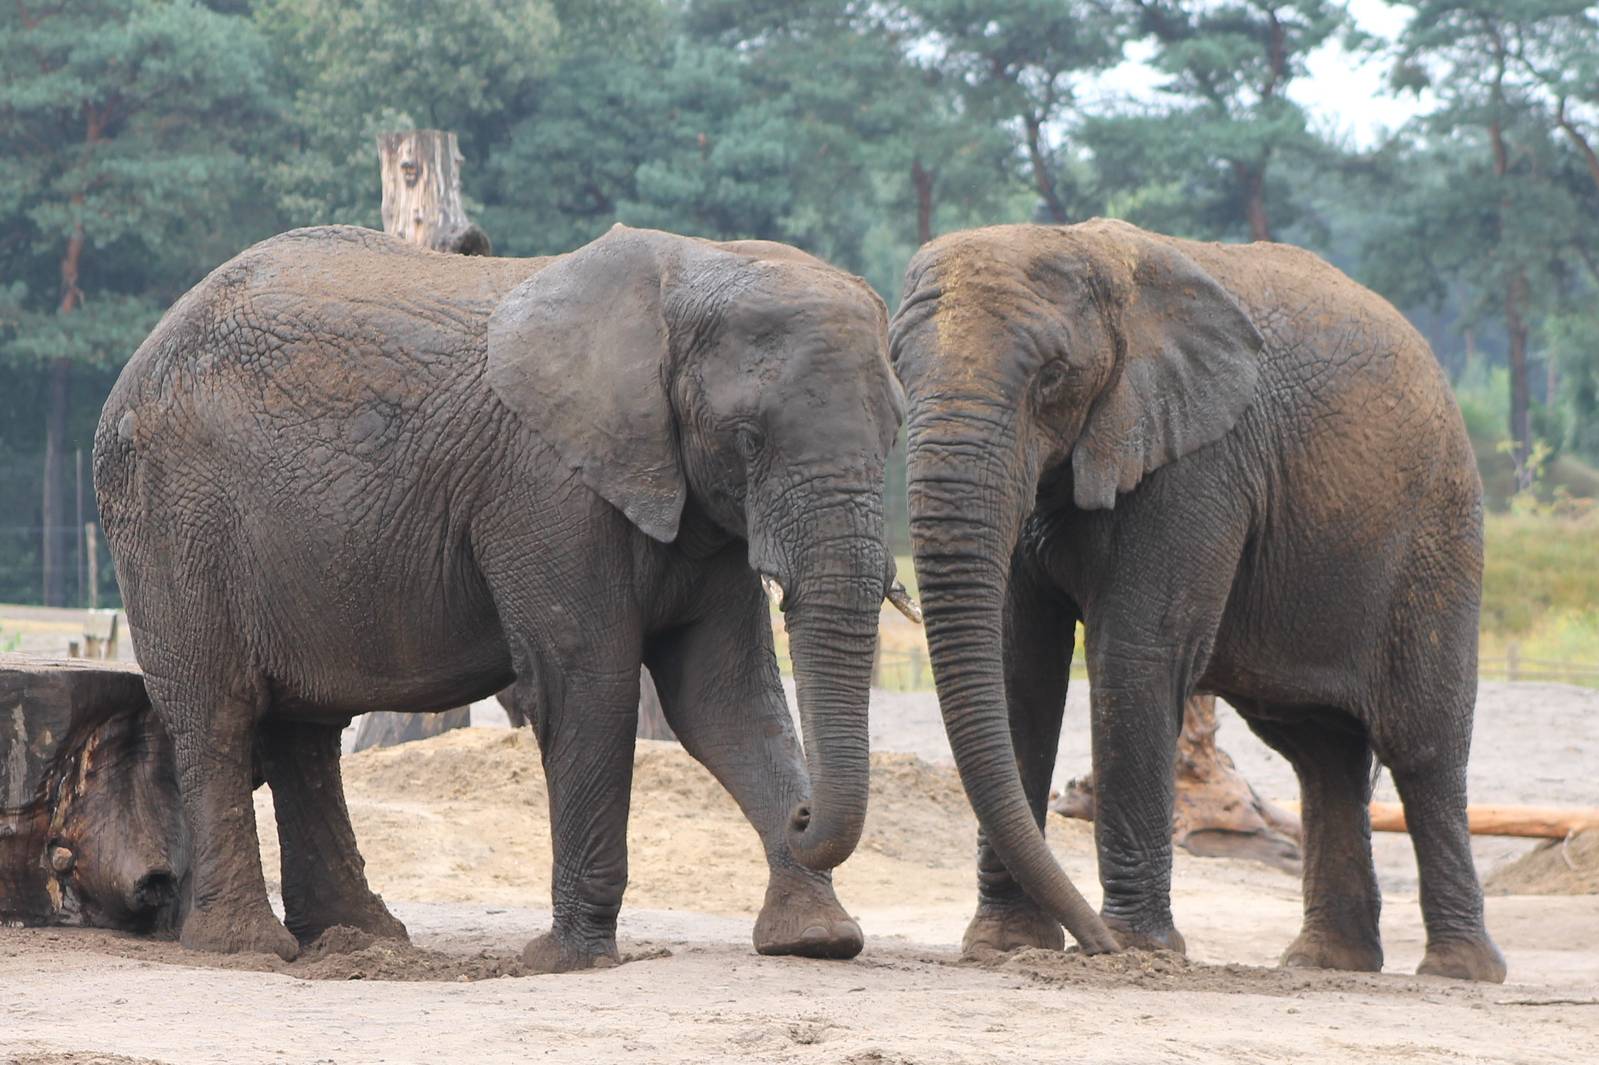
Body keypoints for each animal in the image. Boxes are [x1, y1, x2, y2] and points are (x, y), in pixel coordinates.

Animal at [93, 223, 907, 971]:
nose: (805, 812)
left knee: (305, 729)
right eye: (746, 439)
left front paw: (816, 941)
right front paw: (562, 959)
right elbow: (586, 684)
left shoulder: (696, 505)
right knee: (220, 710)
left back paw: (360, 938)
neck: (693, 270)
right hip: (172, 517)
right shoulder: (545, 490)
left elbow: (722, 697)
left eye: (895, 432)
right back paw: (249, 947)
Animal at [889, 219, 1506, 982]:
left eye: (1050, 376)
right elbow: (1018, 667)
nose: (1090, 939)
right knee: (1320, 753)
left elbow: (1136, 654)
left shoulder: (1199, 461)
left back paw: (1459, 970)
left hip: (1436, 532)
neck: (1094, 260)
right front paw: (1004, 945)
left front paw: (1135, 949)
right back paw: (1325, 962)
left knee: (1422, 747)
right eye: (899, 371)